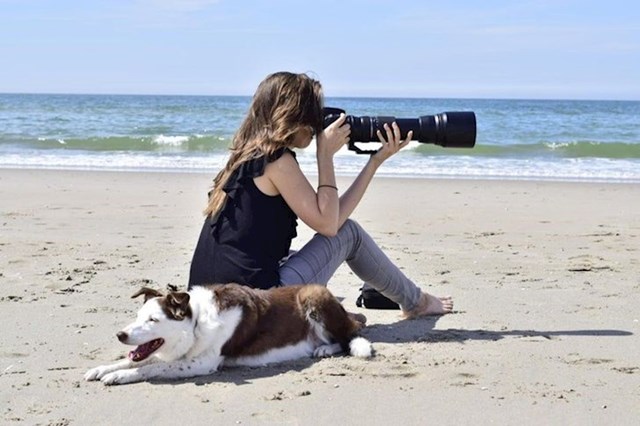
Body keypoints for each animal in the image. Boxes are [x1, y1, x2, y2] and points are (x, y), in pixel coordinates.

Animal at [86, 282, 376, 386]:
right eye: (137, 317)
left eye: (153, 320)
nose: (120, 335)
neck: (196, 323)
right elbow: (134, 360)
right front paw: (102, 369)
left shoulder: (202, 364)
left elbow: (152, 366)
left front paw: (120, 376)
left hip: (313, 295)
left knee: (347, 337)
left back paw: (325, 348)